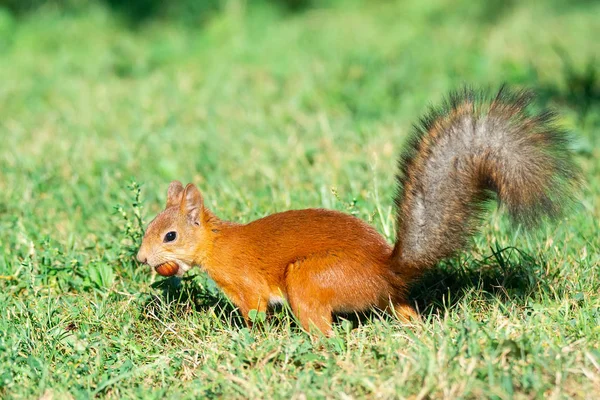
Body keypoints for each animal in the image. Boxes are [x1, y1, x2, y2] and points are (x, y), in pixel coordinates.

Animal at [135, 87, 576, 334]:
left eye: (170, 235)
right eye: (149, 225)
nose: (141, 258)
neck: (216, 244)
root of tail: (386, 269)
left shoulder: (248, 287)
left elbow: (256, 314)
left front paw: (246, 338)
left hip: (309, 280)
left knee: (324, 332)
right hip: (380, 297)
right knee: (403, 310)